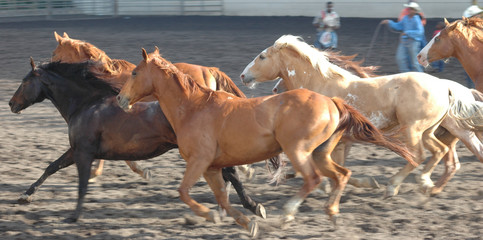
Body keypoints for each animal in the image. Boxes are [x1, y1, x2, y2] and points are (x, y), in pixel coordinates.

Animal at [7, 58, 266, 223]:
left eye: (24, 81)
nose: (11, 103)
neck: (87, 104)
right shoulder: (76, 150)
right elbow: (51, 167)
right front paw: (24, 196)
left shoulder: (83, 153)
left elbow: (81, 185)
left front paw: (74, 216)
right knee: (229, 173)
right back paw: (249, 206)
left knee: (231, 173)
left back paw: (253, 206)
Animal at [115, 48, 414, 236]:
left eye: (134, 73)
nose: (119, 98)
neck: (193, 107)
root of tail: (332, 101)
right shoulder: (211, 167)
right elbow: (223, 198)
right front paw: (246, 221)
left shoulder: (199, 161)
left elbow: (185, 192)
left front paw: (210, 214)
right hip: (320, 153)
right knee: (341, 174)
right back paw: (332, 213)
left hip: (298, 151)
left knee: (313, 179)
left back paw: (288, 215)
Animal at [242, 35, 483, 197]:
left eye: (262, 56)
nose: (243, 75)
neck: (321, 85)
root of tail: (445, 87)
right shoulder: (341, 142)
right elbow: (336, 167)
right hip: (429, 130)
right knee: (440, 151)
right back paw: (426, 184)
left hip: (413, 129)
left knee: (419, 155)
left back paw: (395, 186)